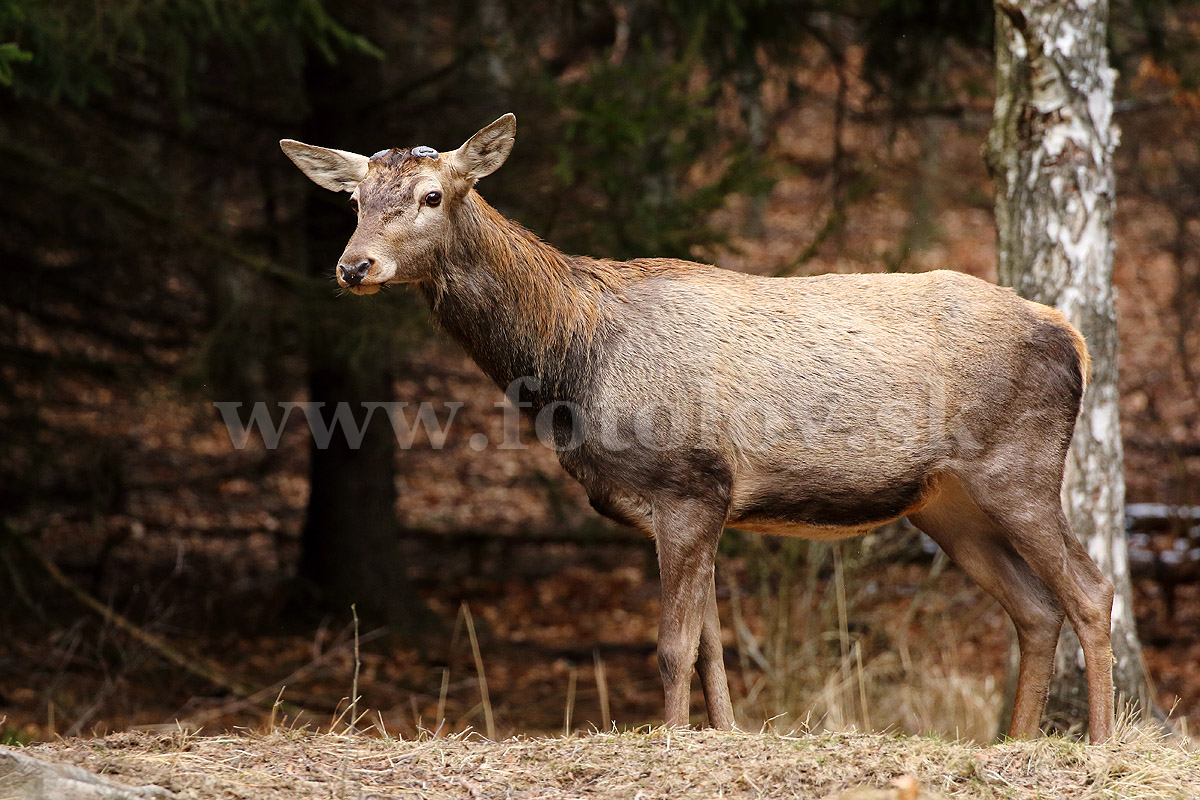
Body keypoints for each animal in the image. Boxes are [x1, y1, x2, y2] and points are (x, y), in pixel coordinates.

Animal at [278, 113, 1113, 743]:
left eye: (429, 195)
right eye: (354, 199)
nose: (354, 266)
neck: (576, 363)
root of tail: (1071, 336)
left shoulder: (689, 485)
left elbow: (673, 648)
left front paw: (676, 737)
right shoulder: (694, 505)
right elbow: (712, 647)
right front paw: (721, 734)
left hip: (1018, 466)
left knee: (1090, 589)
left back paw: (1100, 743)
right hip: (946, 503)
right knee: (1035, 609)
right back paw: (1016, 743)